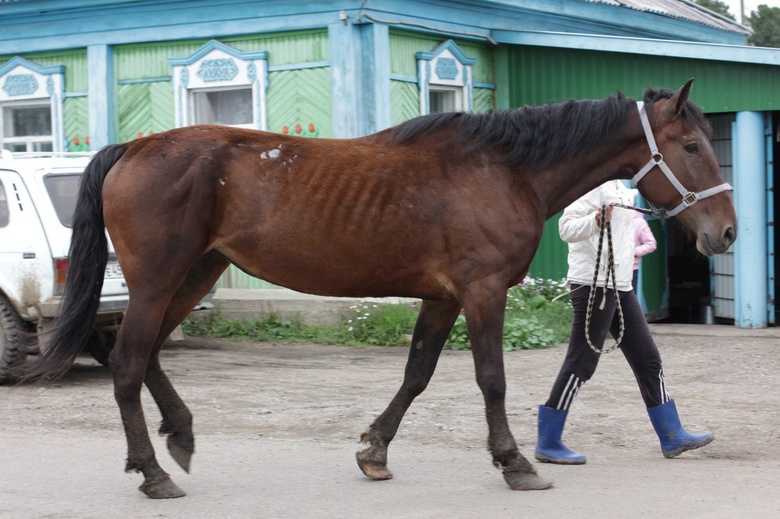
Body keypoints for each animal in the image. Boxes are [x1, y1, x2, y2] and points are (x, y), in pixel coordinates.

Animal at [18, 79, 736, 498]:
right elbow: (491, 379)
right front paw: (514, 462)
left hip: (194, 276)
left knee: (145, 358)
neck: (504, 169)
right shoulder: (481, 292)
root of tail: (133, 149)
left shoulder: (442, 296)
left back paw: (181, 438)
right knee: (128, 363)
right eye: (692, 145)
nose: (725, 233)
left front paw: (374, 450)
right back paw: (154, 471)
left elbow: (416, 374)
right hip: (160, 281)